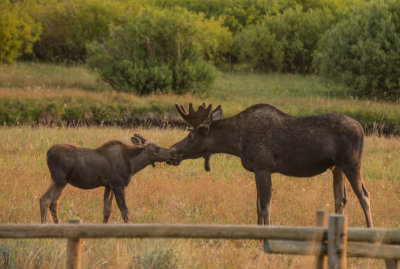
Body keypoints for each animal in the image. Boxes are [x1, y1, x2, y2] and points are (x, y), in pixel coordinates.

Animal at [40, 133, 178, 223]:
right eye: (156, 149)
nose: (173, 153)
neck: (132, 164)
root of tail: (47, 153)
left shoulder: (108, 186)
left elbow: (107, 211)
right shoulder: (118, 185)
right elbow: (124, 210)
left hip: (61, 182)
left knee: (53, 202)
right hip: (59, 180)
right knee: (45, 199)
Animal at [168, 101, 372, 229]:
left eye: (190, 136)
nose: (172, 151)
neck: (237, 144)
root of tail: (363, 130)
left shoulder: (263, 167)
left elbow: (265, 206)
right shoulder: (257, 170)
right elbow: (258, 206)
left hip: (352, 164)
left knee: (364, 196)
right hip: (337, 167)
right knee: (341, 199)